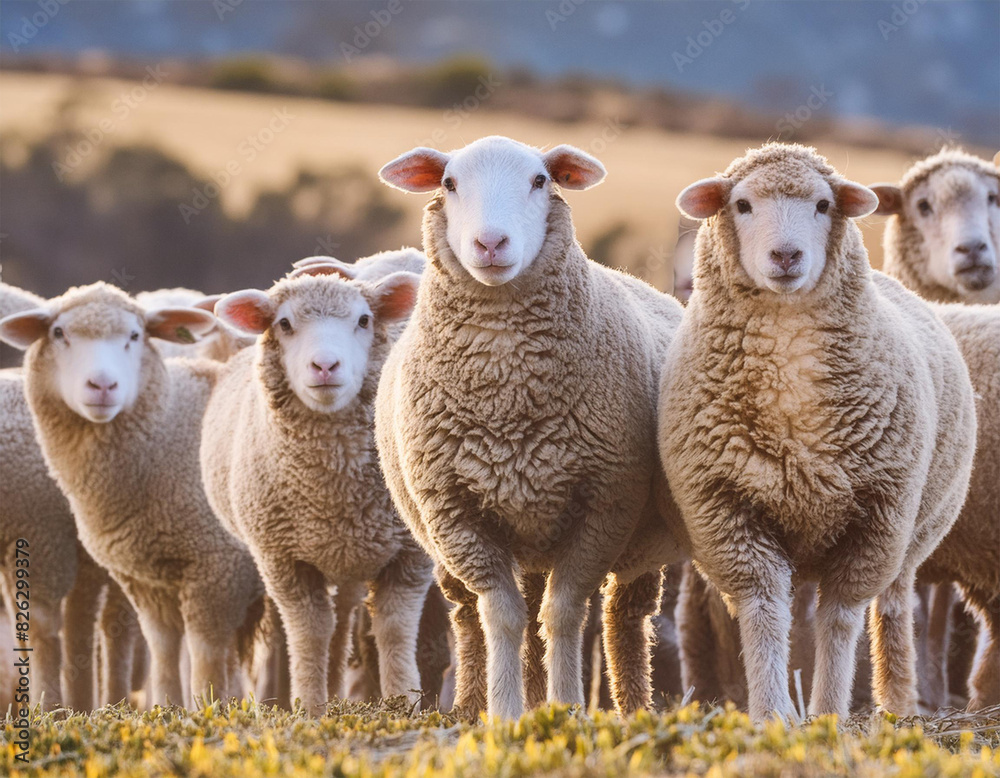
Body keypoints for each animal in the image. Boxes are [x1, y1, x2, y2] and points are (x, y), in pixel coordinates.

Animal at [0, 282, 266, 708]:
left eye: (135, 335)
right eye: (59, 333)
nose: (102, 386)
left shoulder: (218, 567)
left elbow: (206, 658)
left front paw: (209, 710)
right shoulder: (147, 579)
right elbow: (165, 652)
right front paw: (172, 711)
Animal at [200, 267, 433, 716]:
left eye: (364, 320)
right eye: (284, 324)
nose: (325, 365)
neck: (335, 493)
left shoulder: (409, 553)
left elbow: (394, 627)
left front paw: (403, 704)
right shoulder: (283, 560)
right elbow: (309, 632)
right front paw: (309, 707)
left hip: (353, 556)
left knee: (342, 621)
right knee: (324, 626)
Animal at [374, 135, 688, 719]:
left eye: (540, 180)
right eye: (449, 183)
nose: (490, 242)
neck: (508, 395)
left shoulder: (602, 506)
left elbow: (563, 613)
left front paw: (567, 708)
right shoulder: (457, 514)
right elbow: (502, 616)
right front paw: (504, 712)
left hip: (624, 543)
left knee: (622, 619)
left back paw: (631, 706)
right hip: (461, 545)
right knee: (470, 619)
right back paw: (471, 704)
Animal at [661, 143, 977, 722]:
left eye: (823, 204)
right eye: (741, 205)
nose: (786, 256)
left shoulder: (875, 522)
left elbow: (840, 620)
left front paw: (829, 711)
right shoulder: (729, 513)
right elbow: (764, 614)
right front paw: (770, 714)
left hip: (912, 535)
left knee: (893, 608)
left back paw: (899, 701)